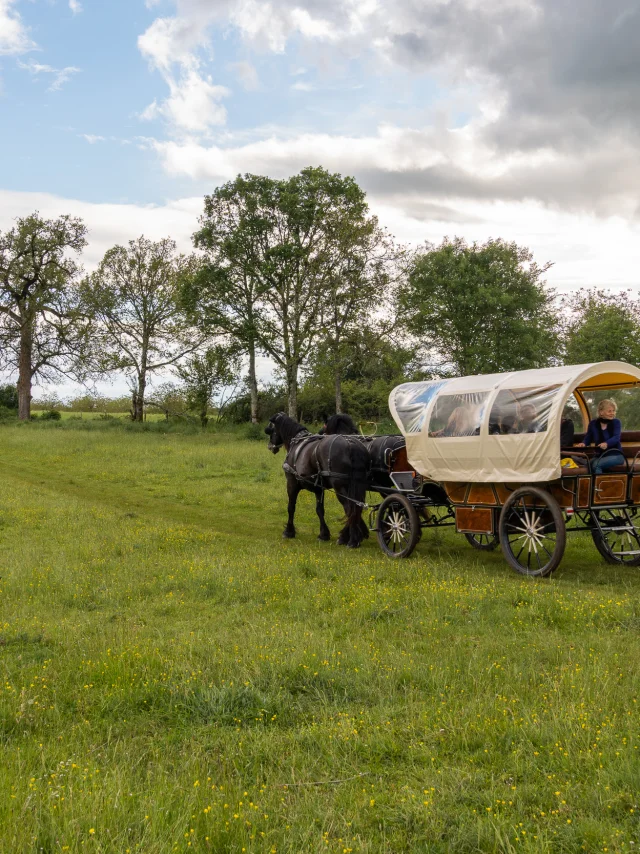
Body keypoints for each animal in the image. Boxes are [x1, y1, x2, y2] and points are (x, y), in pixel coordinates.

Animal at [264, 412, 368, 548]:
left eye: (271, 430)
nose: (270, 446)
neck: (296, 442)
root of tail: (351, 444)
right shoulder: (319, 488)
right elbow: (320, 510)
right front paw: (323, 534)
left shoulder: (291, 483)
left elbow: (291, 507)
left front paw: (289, 531)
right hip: (357, 486)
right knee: (356, 507)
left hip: (340, 487)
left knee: (350, 508)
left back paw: (352, 540)